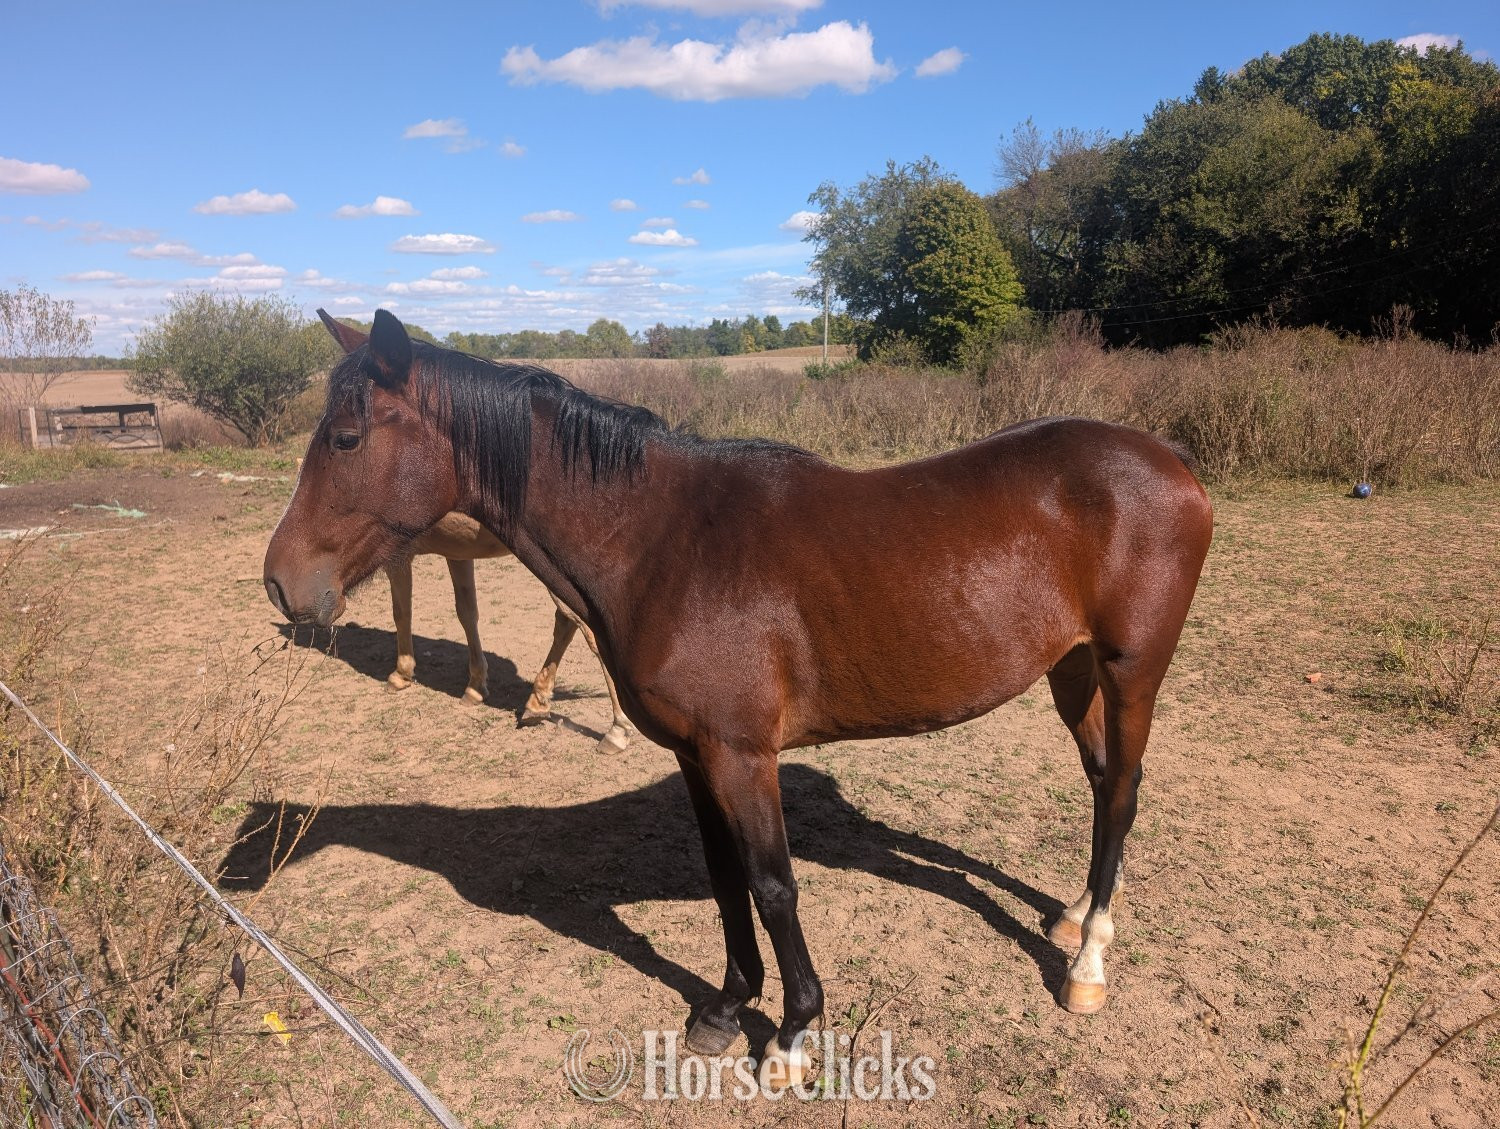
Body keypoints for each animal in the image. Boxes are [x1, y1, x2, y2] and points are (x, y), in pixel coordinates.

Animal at [263, 309, 1213, 1089]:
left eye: (345, 437)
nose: (280, 584)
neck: (666, 541)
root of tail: (1173, 464)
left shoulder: (742, 754)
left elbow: (773, 882)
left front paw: (791, 1036)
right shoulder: (698, 754)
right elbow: (725, 879)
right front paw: (726, 1005)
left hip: (1131, 670)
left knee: (1123, 792)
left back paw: (1086, 967)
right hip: (1072, 669)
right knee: (1100, 782)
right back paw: (1075, 918)